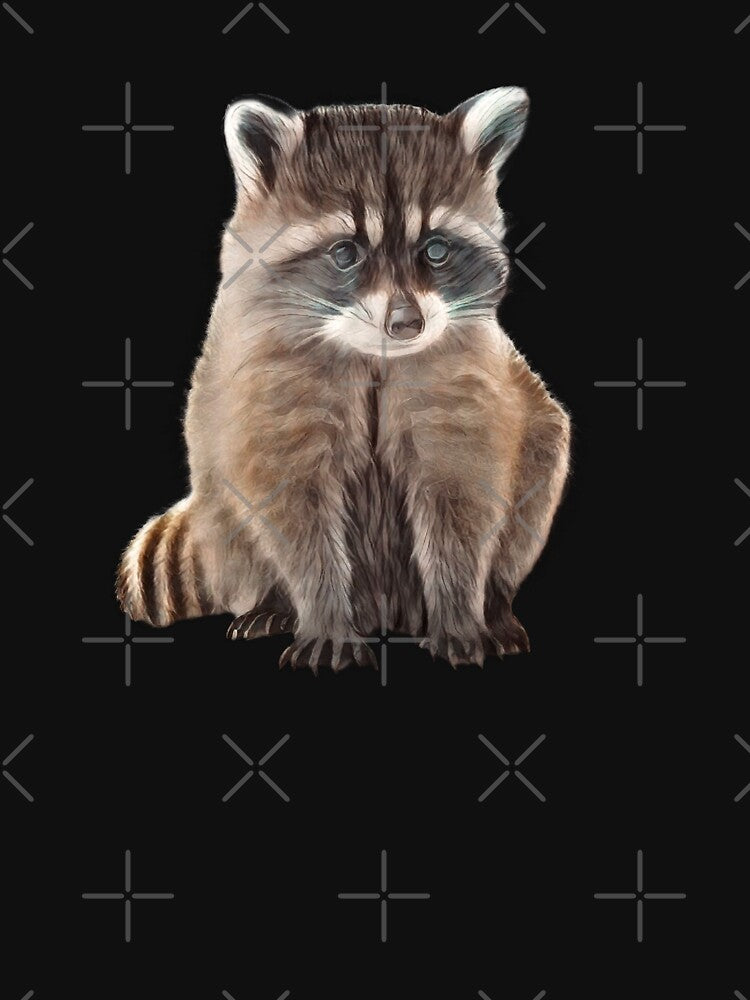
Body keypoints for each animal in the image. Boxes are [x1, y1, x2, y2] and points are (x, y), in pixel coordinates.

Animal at [116, 88, 570, 671]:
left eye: (436, 249)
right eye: (345, 252)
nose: (407, 324)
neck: (374, 352)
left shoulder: (466, 380)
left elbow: (460, 494)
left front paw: (461, 613)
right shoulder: (268, 384)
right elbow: (293, 505)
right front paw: (324, 619)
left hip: (538, 438)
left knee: (541, 454)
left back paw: (495, 606)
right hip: (217, 503)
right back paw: (275, 604)